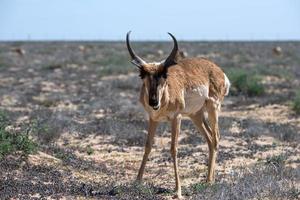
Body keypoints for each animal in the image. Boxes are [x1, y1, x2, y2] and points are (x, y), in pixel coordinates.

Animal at [126, 31, 230, 198]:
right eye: (142, 75)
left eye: (164, 74)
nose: (153, 102)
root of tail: (218, 70)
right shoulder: (153, 119)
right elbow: (148, 146)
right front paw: (137, 181)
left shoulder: (176, 118)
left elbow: (173, 148)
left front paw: (177, 190)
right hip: (196, 115)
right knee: (209, 139)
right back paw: (210, 179)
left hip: (213, 109)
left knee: (216, 137)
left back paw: (209, 181)